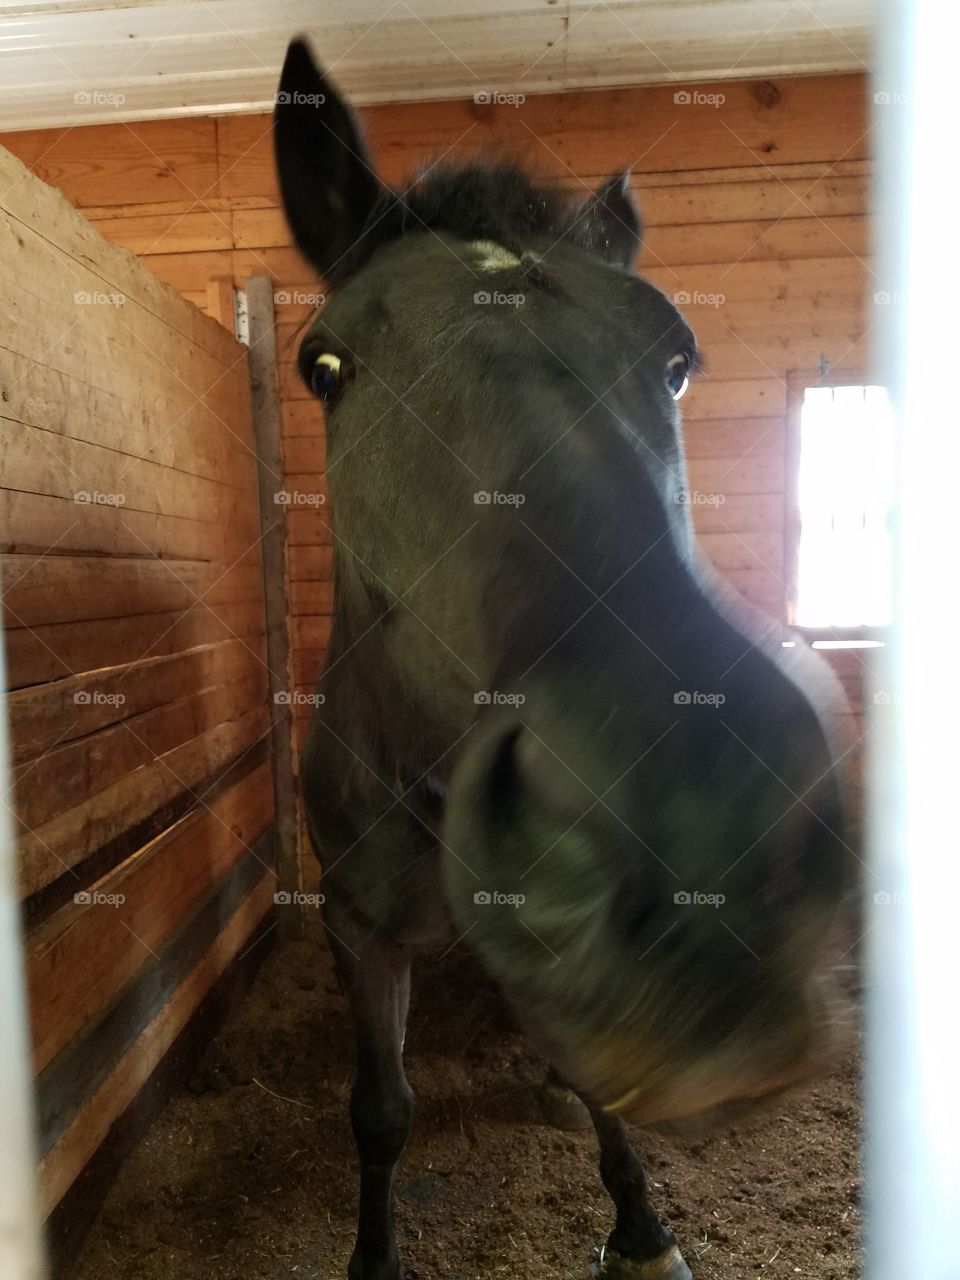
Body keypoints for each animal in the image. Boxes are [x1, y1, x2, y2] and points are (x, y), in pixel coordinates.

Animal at [273, 37, 853, 1280]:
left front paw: (638, 1225)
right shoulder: (355, 927)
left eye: (676, 361)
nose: (695, 814)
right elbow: (380, 1109)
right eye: (324, 365)